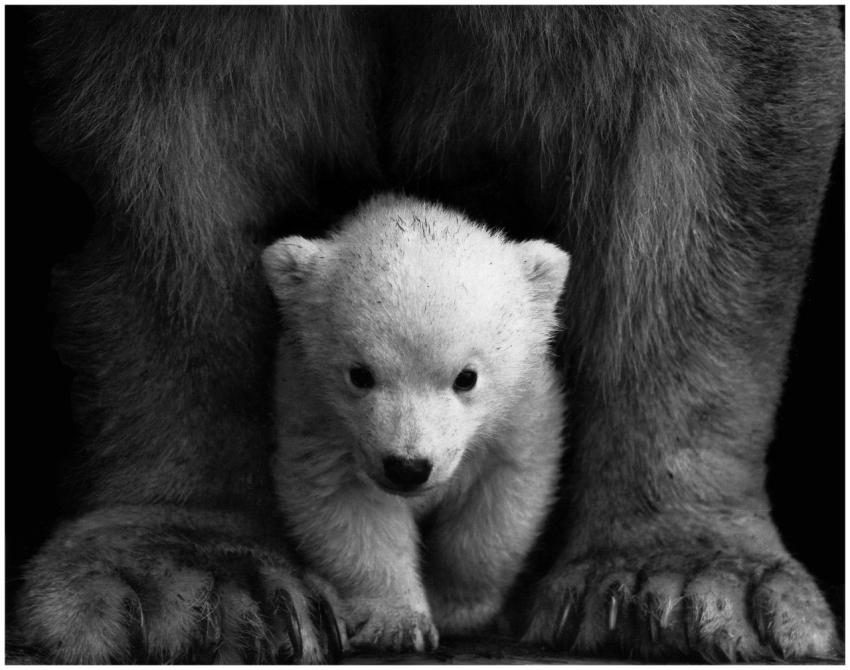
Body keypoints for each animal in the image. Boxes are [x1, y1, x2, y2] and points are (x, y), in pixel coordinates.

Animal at [261, 193, 568, 652]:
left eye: (466, 377)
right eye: (360, 374)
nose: (407, 467)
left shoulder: (521, 414)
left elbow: (499, 503)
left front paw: (458, 609)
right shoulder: (316, 415)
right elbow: (348, 507)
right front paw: (398, 623)